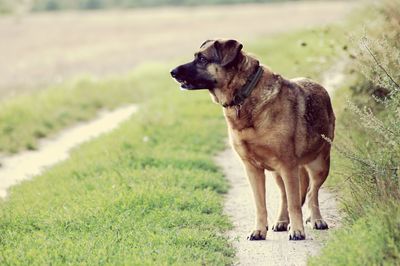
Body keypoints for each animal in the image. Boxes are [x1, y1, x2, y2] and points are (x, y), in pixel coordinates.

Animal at [170, 39, 336, 241]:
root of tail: (318, 85)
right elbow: (261, 204)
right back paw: (282, 221)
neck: (244, 93)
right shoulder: (253, 169)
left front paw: (297, 230)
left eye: (202, 59)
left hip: (320, 165)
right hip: (278, 174)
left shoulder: (288, 166)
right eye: (196, 56)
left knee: (312, 193)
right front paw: (259, 230)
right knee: (285, 196)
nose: (172, 72)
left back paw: (316, 219)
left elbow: (295, 203)